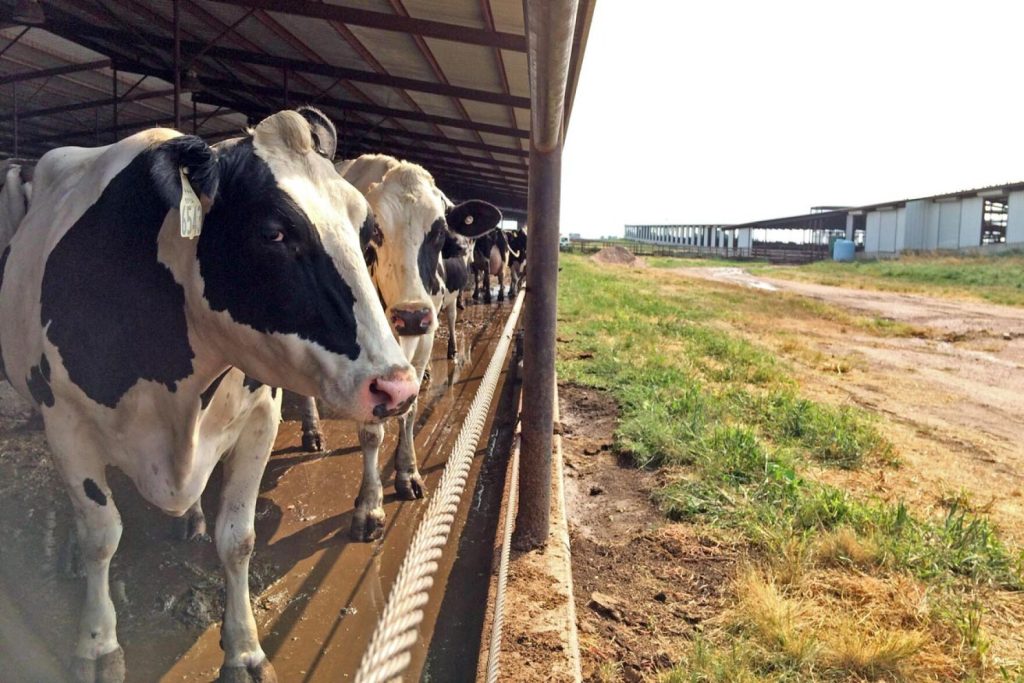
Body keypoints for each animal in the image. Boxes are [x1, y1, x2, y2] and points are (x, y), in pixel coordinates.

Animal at [0, 109, 417, 679]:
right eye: (274, 232)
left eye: (367, 231)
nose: (397, 386)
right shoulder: (65, 421)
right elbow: (101, 534)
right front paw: (97, 644)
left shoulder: (260, 416)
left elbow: (237, 539)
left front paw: (244, 650)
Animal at [296, 153, 503, 540]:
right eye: (375, 230)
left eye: (439, 233)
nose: (410, 316)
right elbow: (370, 432)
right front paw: (369, 506)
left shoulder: (423, 340)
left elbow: (409, 410)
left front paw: (407, 473)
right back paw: (312, 430)